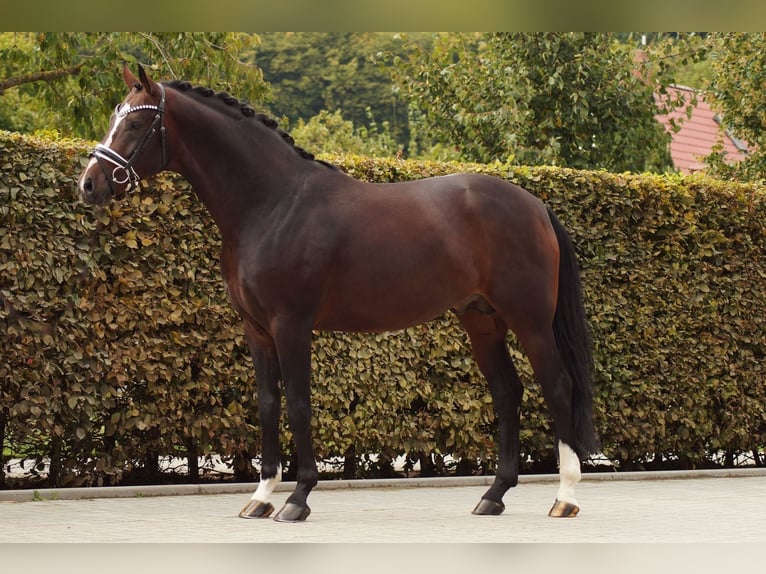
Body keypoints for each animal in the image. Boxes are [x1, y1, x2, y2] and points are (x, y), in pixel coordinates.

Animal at [78, 64, 600, 523]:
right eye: (113, 117)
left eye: (138, 122)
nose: (88, 185)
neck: (273, 204)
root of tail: (535, 204)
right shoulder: (256, 329)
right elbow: (268, 404)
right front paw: (260, 498)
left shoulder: (291, 325)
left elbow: (299, 403)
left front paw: (297, 500)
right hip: (481, 320)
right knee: (507, 392)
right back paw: (493, 496)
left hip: (530, 320)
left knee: (558, 386)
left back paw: (565, 497)